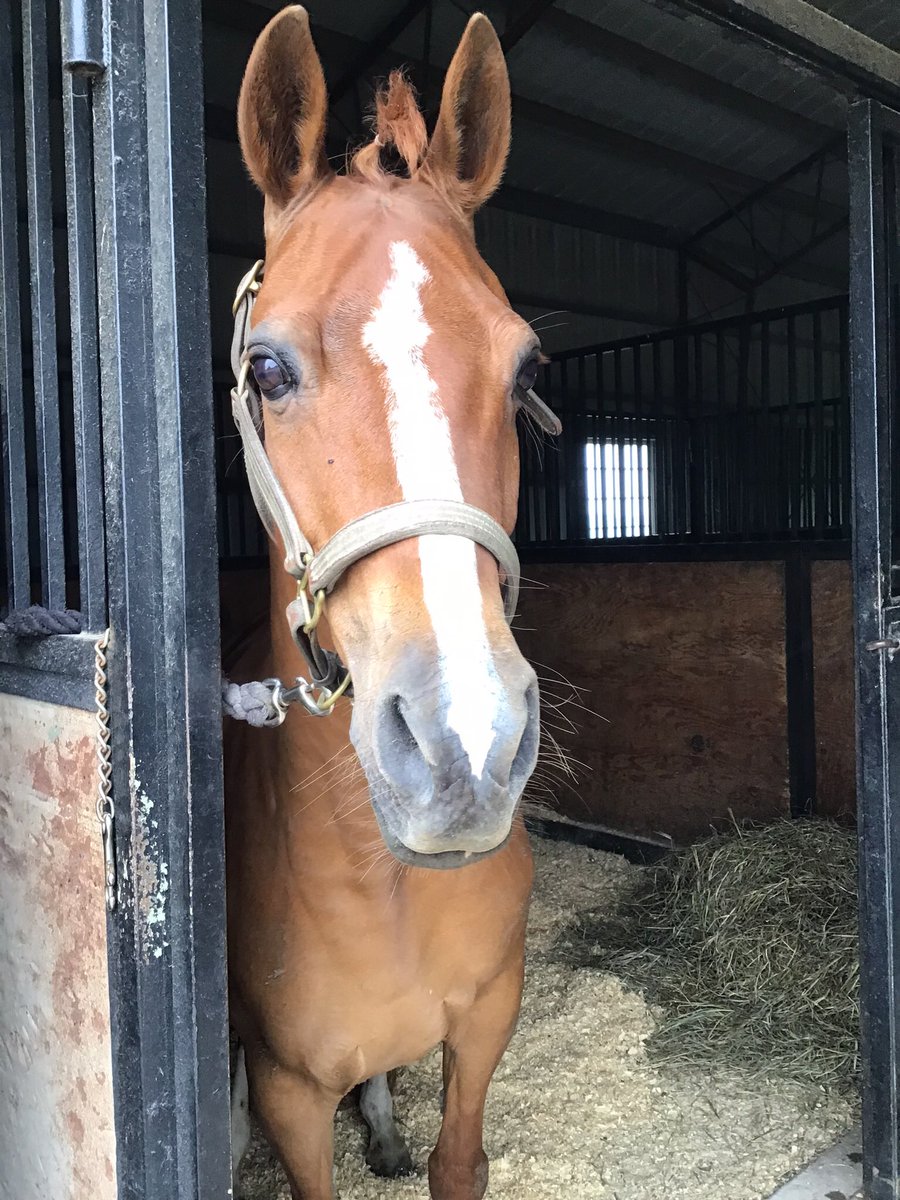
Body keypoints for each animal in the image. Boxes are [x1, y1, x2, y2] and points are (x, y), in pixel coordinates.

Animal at [225, 9, 552, 1198]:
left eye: (524, 371)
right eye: (268, 370)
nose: (466, 748)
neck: (388, 886)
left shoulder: (488, 1025)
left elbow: (459, 1162)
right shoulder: (284, 1092)